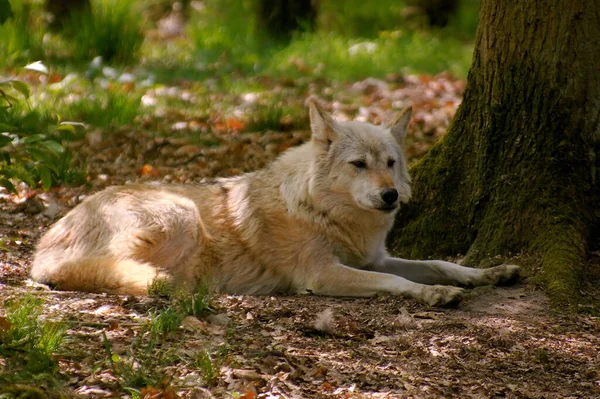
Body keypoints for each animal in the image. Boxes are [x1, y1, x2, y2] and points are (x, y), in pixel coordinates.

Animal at [31, 100, 520, 306]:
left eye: (390, 163)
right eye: (359, 165)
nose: (391, 195)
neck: (325, 213)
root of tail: (39, 253)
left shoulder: (373, 259)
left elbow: (440, 263)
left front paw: (489, 273)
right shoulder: (324, 274)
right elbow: (401, 282)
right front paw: (435, 295)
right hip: (179, 213)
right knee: (116, 272)